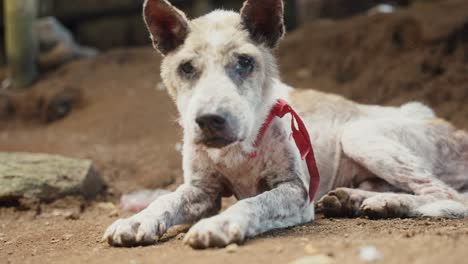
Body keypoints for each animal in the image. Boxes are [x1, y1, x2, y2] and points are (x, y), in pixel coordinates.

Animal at [102, 0, 468, 249]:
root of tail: (459, 131)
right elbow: (165, 200)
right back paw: (357, 199)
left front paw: (220, 225)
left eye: (245, 62)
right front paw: (136, 220)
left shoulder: (295, 190)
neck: (237, 150)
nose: (209, 121)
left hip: (359, 133)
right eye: (187, 68)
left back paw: (382, 203)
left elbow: (254, 202)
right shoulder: (201, 190)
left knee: (449, 196)